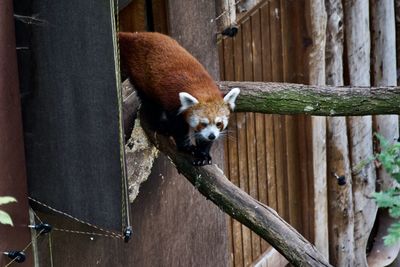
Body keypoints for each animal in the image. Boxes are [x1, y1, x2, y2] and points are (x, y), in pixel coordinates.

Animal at [117, 32, 239, 166]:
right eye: (203, 123)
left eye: (218, 124)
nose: (212, 136)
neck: (202, 87)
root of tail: (136, 36)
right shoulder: (174, 103)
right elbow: (179, 127)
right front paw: (186, 147)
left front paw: (203, 154)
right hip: (142, 79)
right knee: (151, 104)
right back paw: (160, 125)